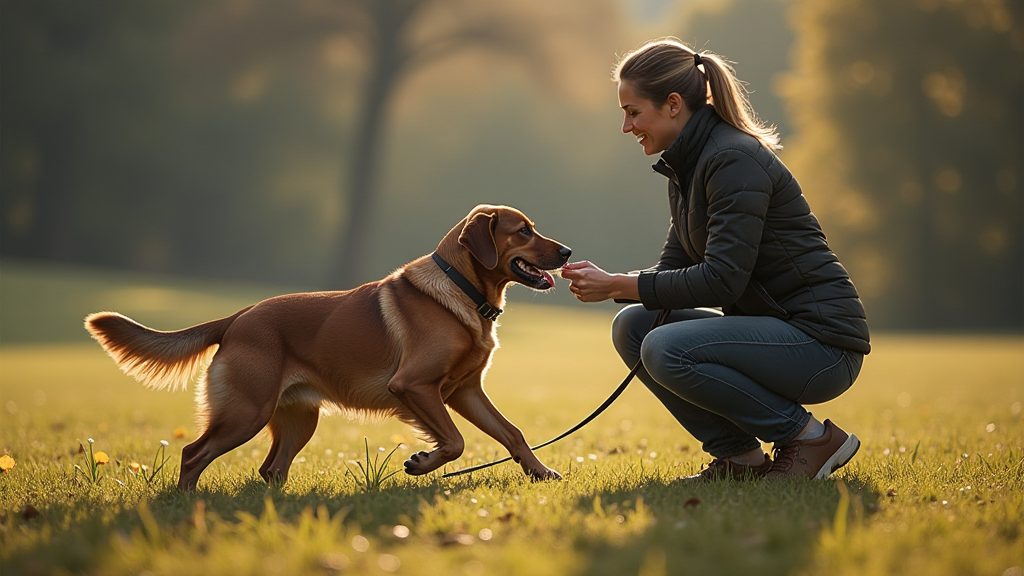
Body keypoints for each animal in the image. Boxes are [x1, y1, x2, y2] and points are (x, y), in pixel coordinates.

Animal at [84, 203, 573, 485]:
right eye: (523, 230)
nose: (568, 252)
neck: (463, 291)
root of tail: (237, 318)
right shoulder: (415, 386)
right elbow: (454, 442)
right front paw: (420, 462)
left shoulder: (465, 391)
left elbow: (512, 433)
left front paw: (541, 473)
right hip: (246, 412)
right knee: (192, 453)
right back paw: (188, 504)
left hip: (299, 419)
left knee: (270, 469)